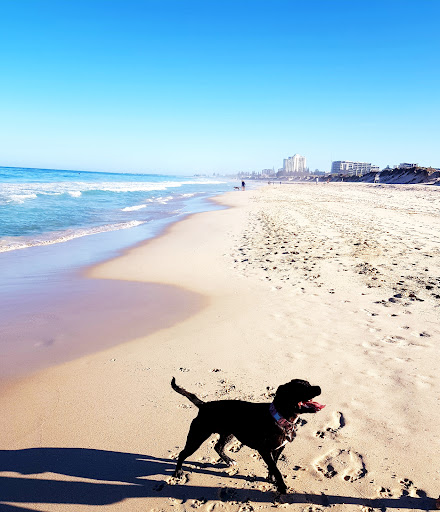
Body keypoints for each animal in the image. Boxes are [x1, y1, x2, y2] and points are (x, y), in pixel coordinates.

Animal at [171, 377, 324, 493]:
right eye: (301, 388)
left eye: (308, 383)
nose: (319, 387)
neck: (280, 417)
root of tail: (204, 405)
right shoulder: (264, 450)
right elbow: (276, 468)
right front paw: (281, 486)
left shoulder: (279, 448)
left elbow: (273, 465)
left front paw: (271, 479)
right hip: (197, 437)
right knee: (183, 453)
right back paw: (178, 472)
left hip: (228, 434)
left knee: (218, 447)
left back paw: (229, 461)